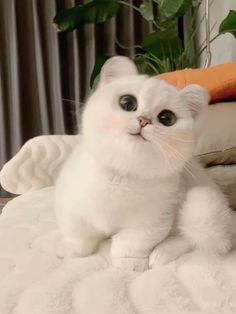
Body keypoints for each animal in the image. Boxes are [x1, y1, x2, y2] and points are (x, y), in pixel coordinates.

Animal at [54, 55, 231, 270]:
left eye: (167, 118)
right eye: (127, 102)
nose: (144, 120)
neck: (120, 176)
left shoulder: (149, 223)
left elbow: (129, 244)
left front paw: (129, 264)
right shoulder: (72, 208)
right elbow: (78, 236)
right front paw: (70, 251)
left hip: (202, 210)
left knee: (188, 238)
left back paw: (161, 254)